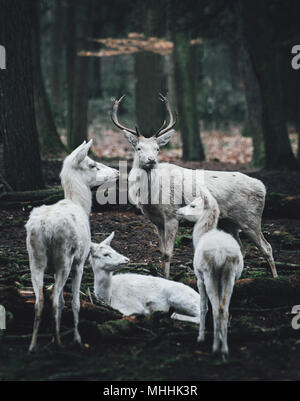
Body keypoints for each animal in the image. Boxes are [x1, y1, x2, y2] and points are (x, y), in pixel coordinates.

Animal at [25, 140, 119, 350]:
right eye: (92, 164)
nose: (117, 172)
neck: (81, 205)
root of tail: (44, 228)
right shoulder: (81, 261)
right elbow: (74, 302)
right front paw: (77, 339)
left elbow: (62, 300)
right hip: (64, 258)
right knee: (53, 299)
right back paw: (60, 343)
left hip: (35, 258)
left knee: (40, 300)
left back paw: (33, 345)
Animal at [110, 94, 276, 278]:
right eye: (139, 148)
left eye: (157, 148)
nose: (151, 160)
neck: (151, 197)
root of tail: (262, 187)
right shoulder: (156, 221)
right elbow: (161, 251)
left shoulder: (172, 214)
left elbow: (168, 253)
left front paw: (167, 278)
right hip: (229, 222)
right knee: (240, 248)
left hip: (251, 217)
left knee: (267, 247)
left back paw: (275, 277)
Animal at [176, 186, 244, 354]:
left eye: (193, 205)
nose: (178, 210)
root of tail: (221, 254)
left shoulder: (199, 278)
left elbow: (203, 307)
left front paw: (200, 338)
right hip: (230, 275)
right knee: (224, 309)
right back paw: (224, 348)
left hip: (209, 274)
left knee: (215, 309)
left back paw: (214, 347)